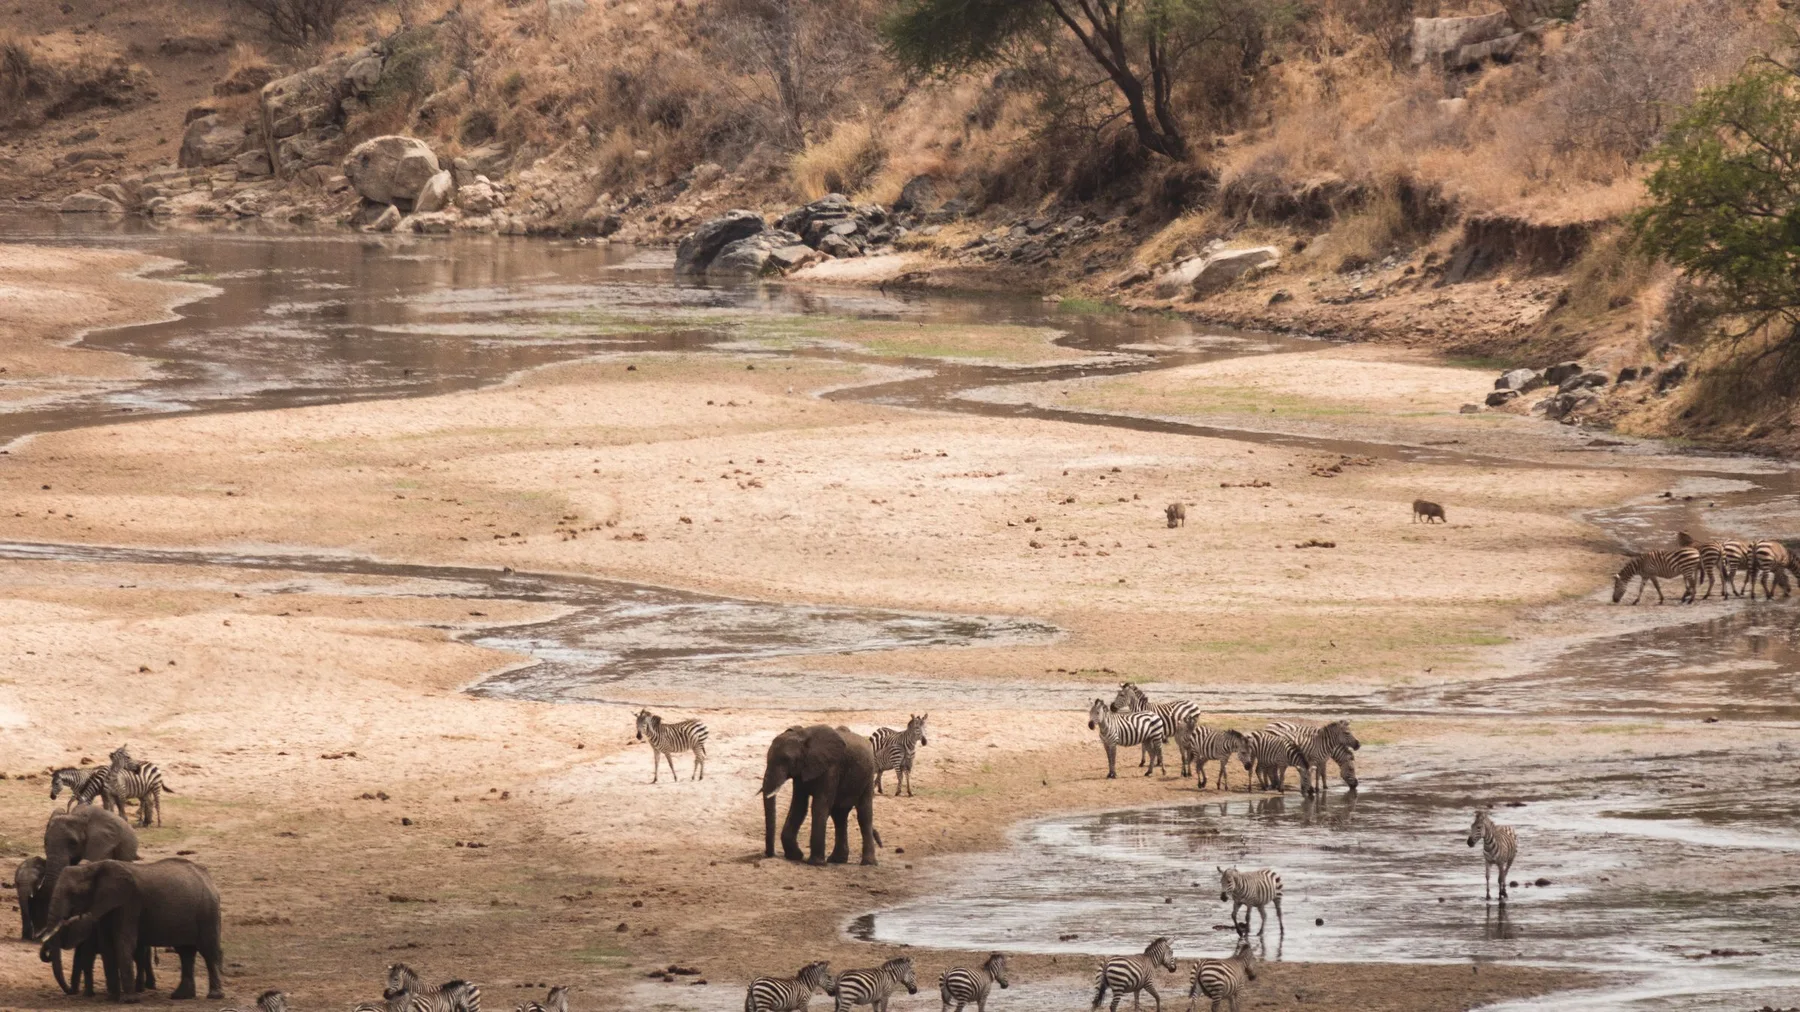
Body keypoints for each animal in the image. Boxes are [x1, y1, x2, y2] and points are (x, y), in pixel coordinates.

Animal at [38, 858, 224, 1002]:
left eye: (73, 893)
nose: (69, 991)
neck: (95, 866)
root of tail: (209, 878)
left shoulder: (129, 902)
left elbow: (123, 941)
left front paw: (129, 1000)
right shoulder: (106, 905)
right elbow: (107, 945)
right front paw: (112, 998)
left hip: (208, 910)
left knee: (208, 950)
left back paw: (214, 995)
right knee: (185, 952)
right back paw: (181, 996)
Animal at [761, 725, 880, 866]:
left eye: (787, 759)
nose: (770, 854)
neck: (804, 735)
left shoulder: (831, 767)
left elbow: (819, 806)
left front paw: (815, 863)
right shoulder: (801, 772)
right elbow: (799, 806)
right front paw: (795, 856)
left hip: (868, 776)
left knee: (864, 814)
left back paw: (868, 863)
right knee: (839, 815)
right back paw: (837, 860)